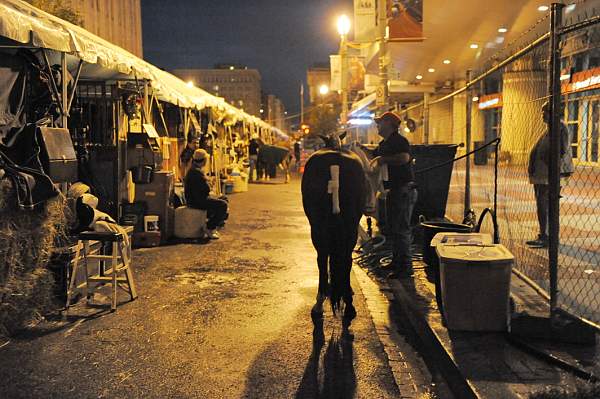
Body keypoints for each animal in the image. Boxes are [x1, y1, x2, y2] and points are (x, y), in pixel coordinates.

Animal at [300, 133, 366, 324]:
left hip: (317, 227)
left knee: (322, 259)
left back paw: (319, 302)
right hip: (351, 225)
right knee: (347, 259)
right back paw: (349, 305)